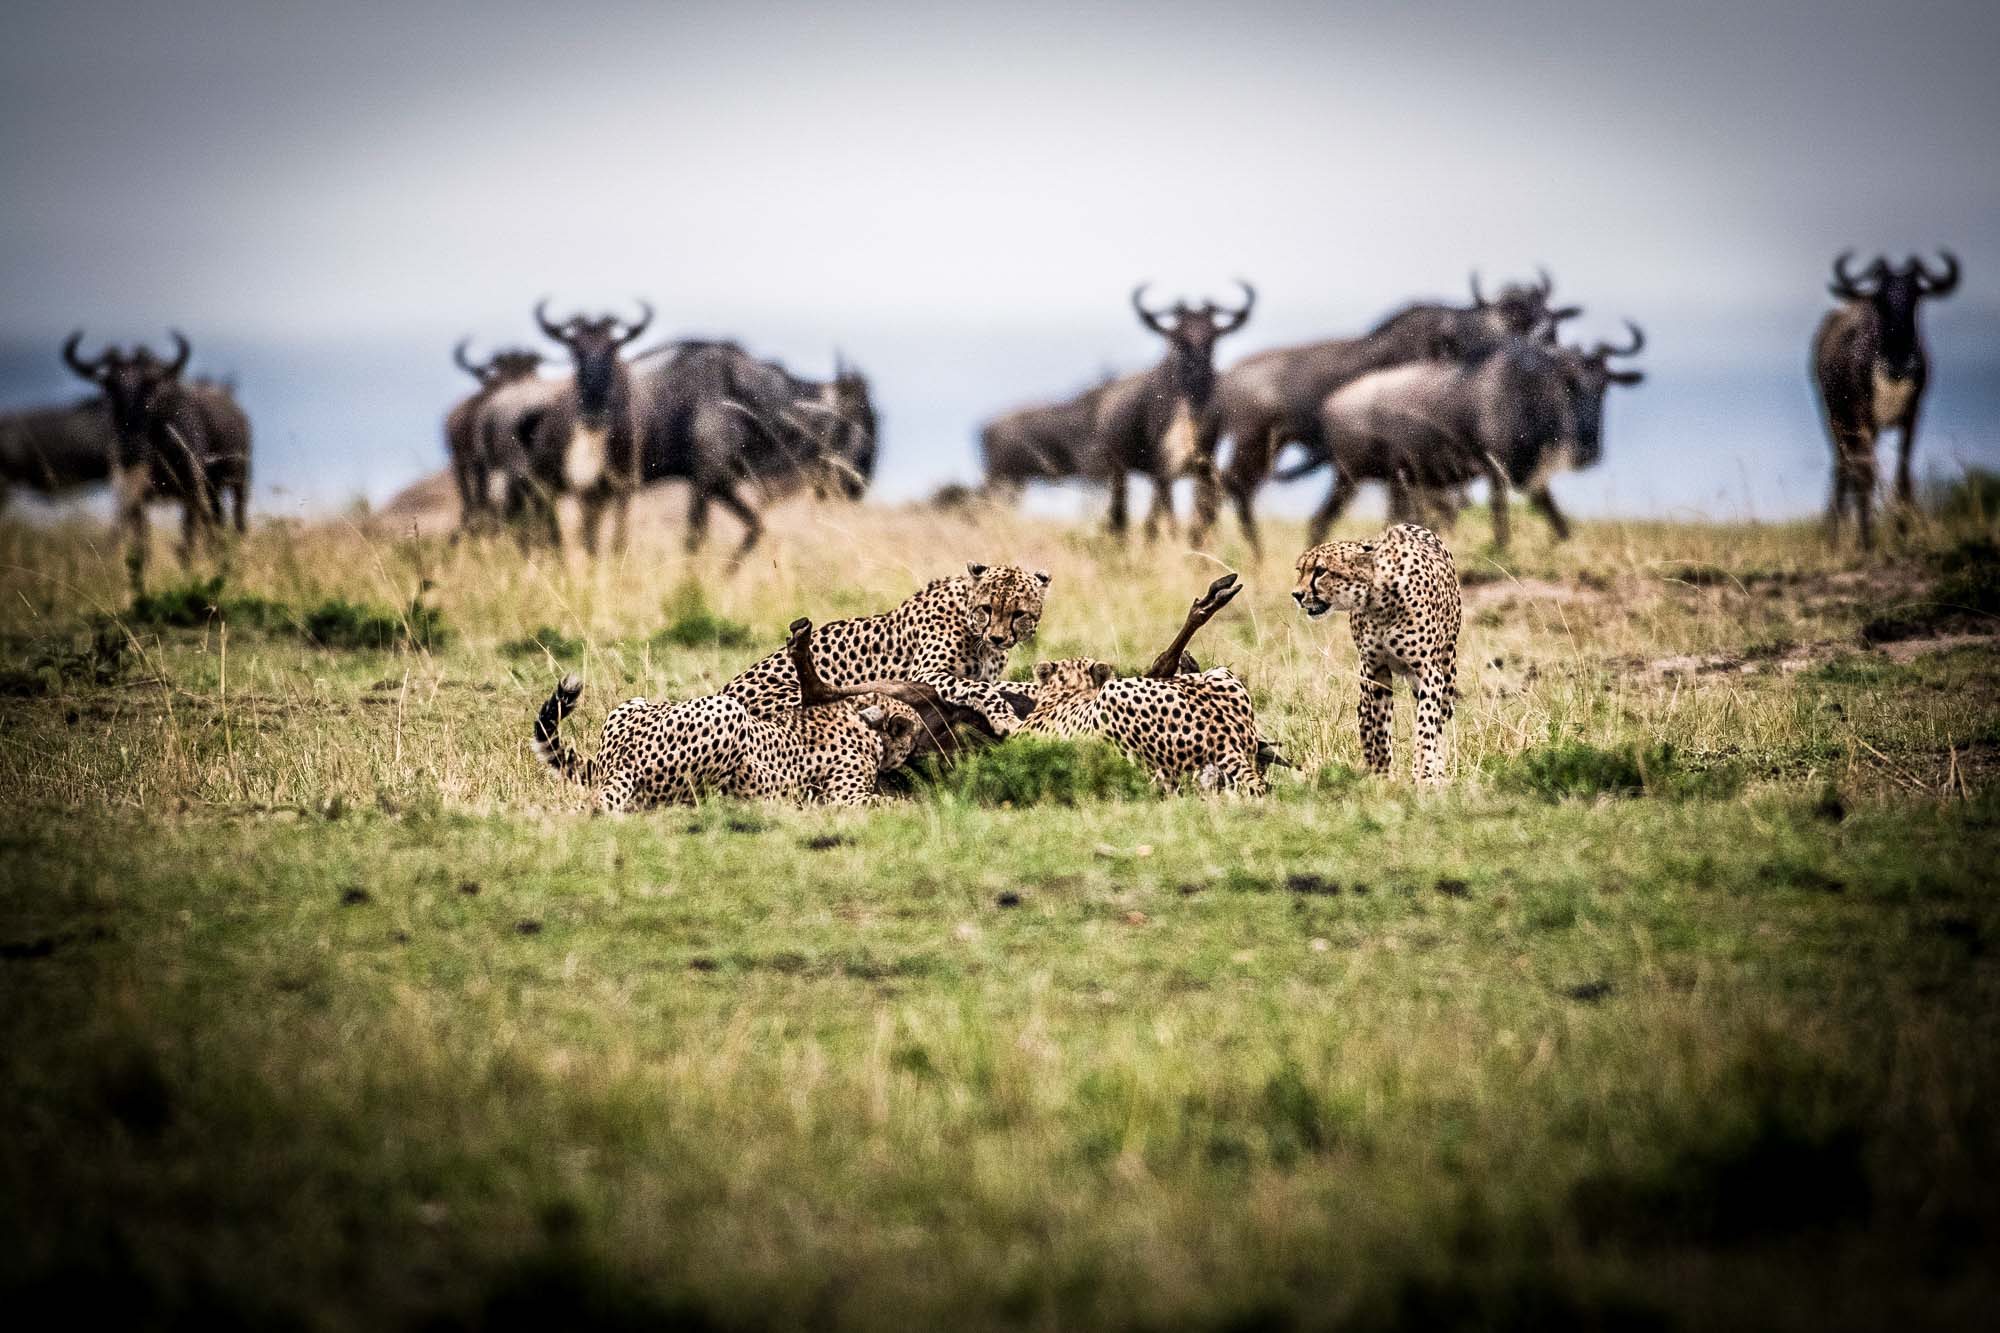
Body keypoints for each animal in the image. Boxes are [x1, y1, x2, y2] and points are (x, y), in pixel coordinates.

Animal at [1288, 524, 1464, 784]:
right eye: (1301, 570)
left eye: (1321, 571)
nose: (1297, 595)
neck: (1378, 601)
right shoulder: (1376, 670)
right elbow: (1380, 727)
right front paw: (1383, 775)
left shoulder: (1429, 672)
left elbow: (1426, 725)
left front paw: (1424, 775)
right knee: (1365, 716)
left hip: (1447, 668)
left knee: (1440, 717)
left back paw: (1436, 769)